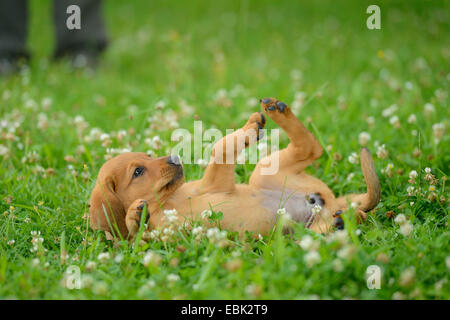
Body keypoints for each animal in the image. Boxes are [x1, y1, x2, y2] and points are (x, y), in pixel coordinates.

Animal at [89, 97, 380, 240]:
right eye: (138, 171)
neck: (167, 203)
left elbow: (220, 147)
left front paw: (249, 129)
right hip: (298, 221)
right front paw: (135, 217)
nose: (174, 158)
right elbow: (138, 237)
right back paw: (342, 222)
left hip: (263, 171)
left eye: (149, 155)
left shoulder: (216, 183)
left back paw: (274, 111)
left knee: (312, 148)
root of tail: (331, 203)